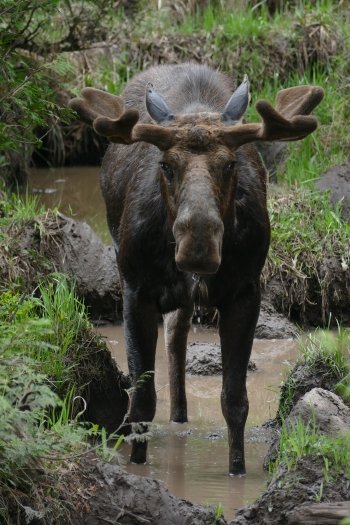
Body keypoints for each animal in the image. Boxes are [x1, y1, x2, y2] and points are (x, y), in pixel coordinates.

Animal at [69, 63, 324, 472]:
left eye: (230, 164)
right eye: (166, 165)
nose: (198, 246)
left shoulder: (245, 293)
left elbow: (235, 401)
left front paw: (237, 470)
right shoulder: (136, 290)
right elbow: (141, 400)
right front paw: (138, 463)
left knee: (177, 335)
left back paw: (181, 415)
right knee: (174, 337)